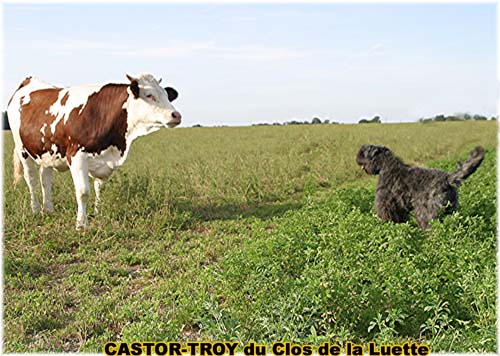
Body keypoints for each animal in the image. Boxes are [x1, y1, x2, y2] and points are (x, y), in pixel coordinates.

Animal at [7, 73, 182, 229]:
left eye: (167, 96)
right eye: (149, 95)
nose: (176, 115)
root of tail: (29, 81)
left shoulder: (105, 161)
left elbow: (100, 188)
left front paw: (99, 213)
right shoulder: (76, 156)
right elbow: (83, 192)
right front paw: (81, 224)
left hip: (47, 151)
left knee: (45, 178)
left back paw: (48, 209)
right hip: (22, 149)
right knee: (31, 179)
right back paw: (36, 209)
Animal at [356, 144, 484, 229]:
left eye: (363, 152)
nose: (357, 157)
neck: (385, 165)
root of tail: (448, 179)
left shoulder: (385, 202)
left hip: (426, 212)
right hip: (451, 208)